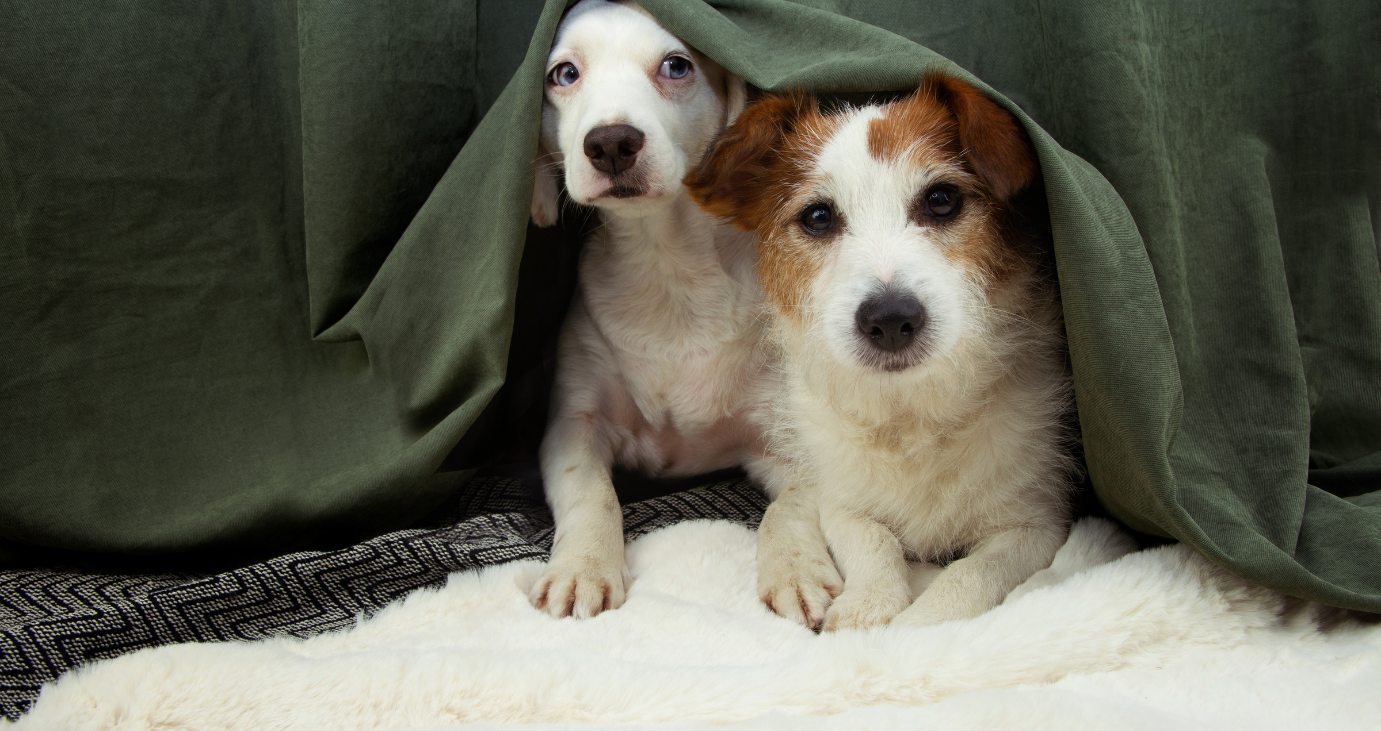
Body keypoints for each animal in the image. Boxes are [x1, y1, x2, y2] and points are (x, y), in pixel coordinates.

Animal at [524, 1, 778, 616]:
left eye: (676, 65)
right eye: (564, 74)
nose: (612, 142)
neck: (668, 272)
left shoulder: (780, 435)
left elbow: (798, 506)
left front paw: (799, 567)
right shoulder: (573, 425)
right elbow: (593, 494)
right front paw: (583, 567)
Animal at [690, 77, 1077, 630]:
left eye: (941, 200)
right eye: (818, 216)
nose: (891, 319)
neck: (910, 413)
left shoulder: (1035, 525)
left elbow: (971, 574)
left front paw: (917, 627)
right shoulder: (842, 502)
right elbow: (873, 540)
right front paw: (869, 604)